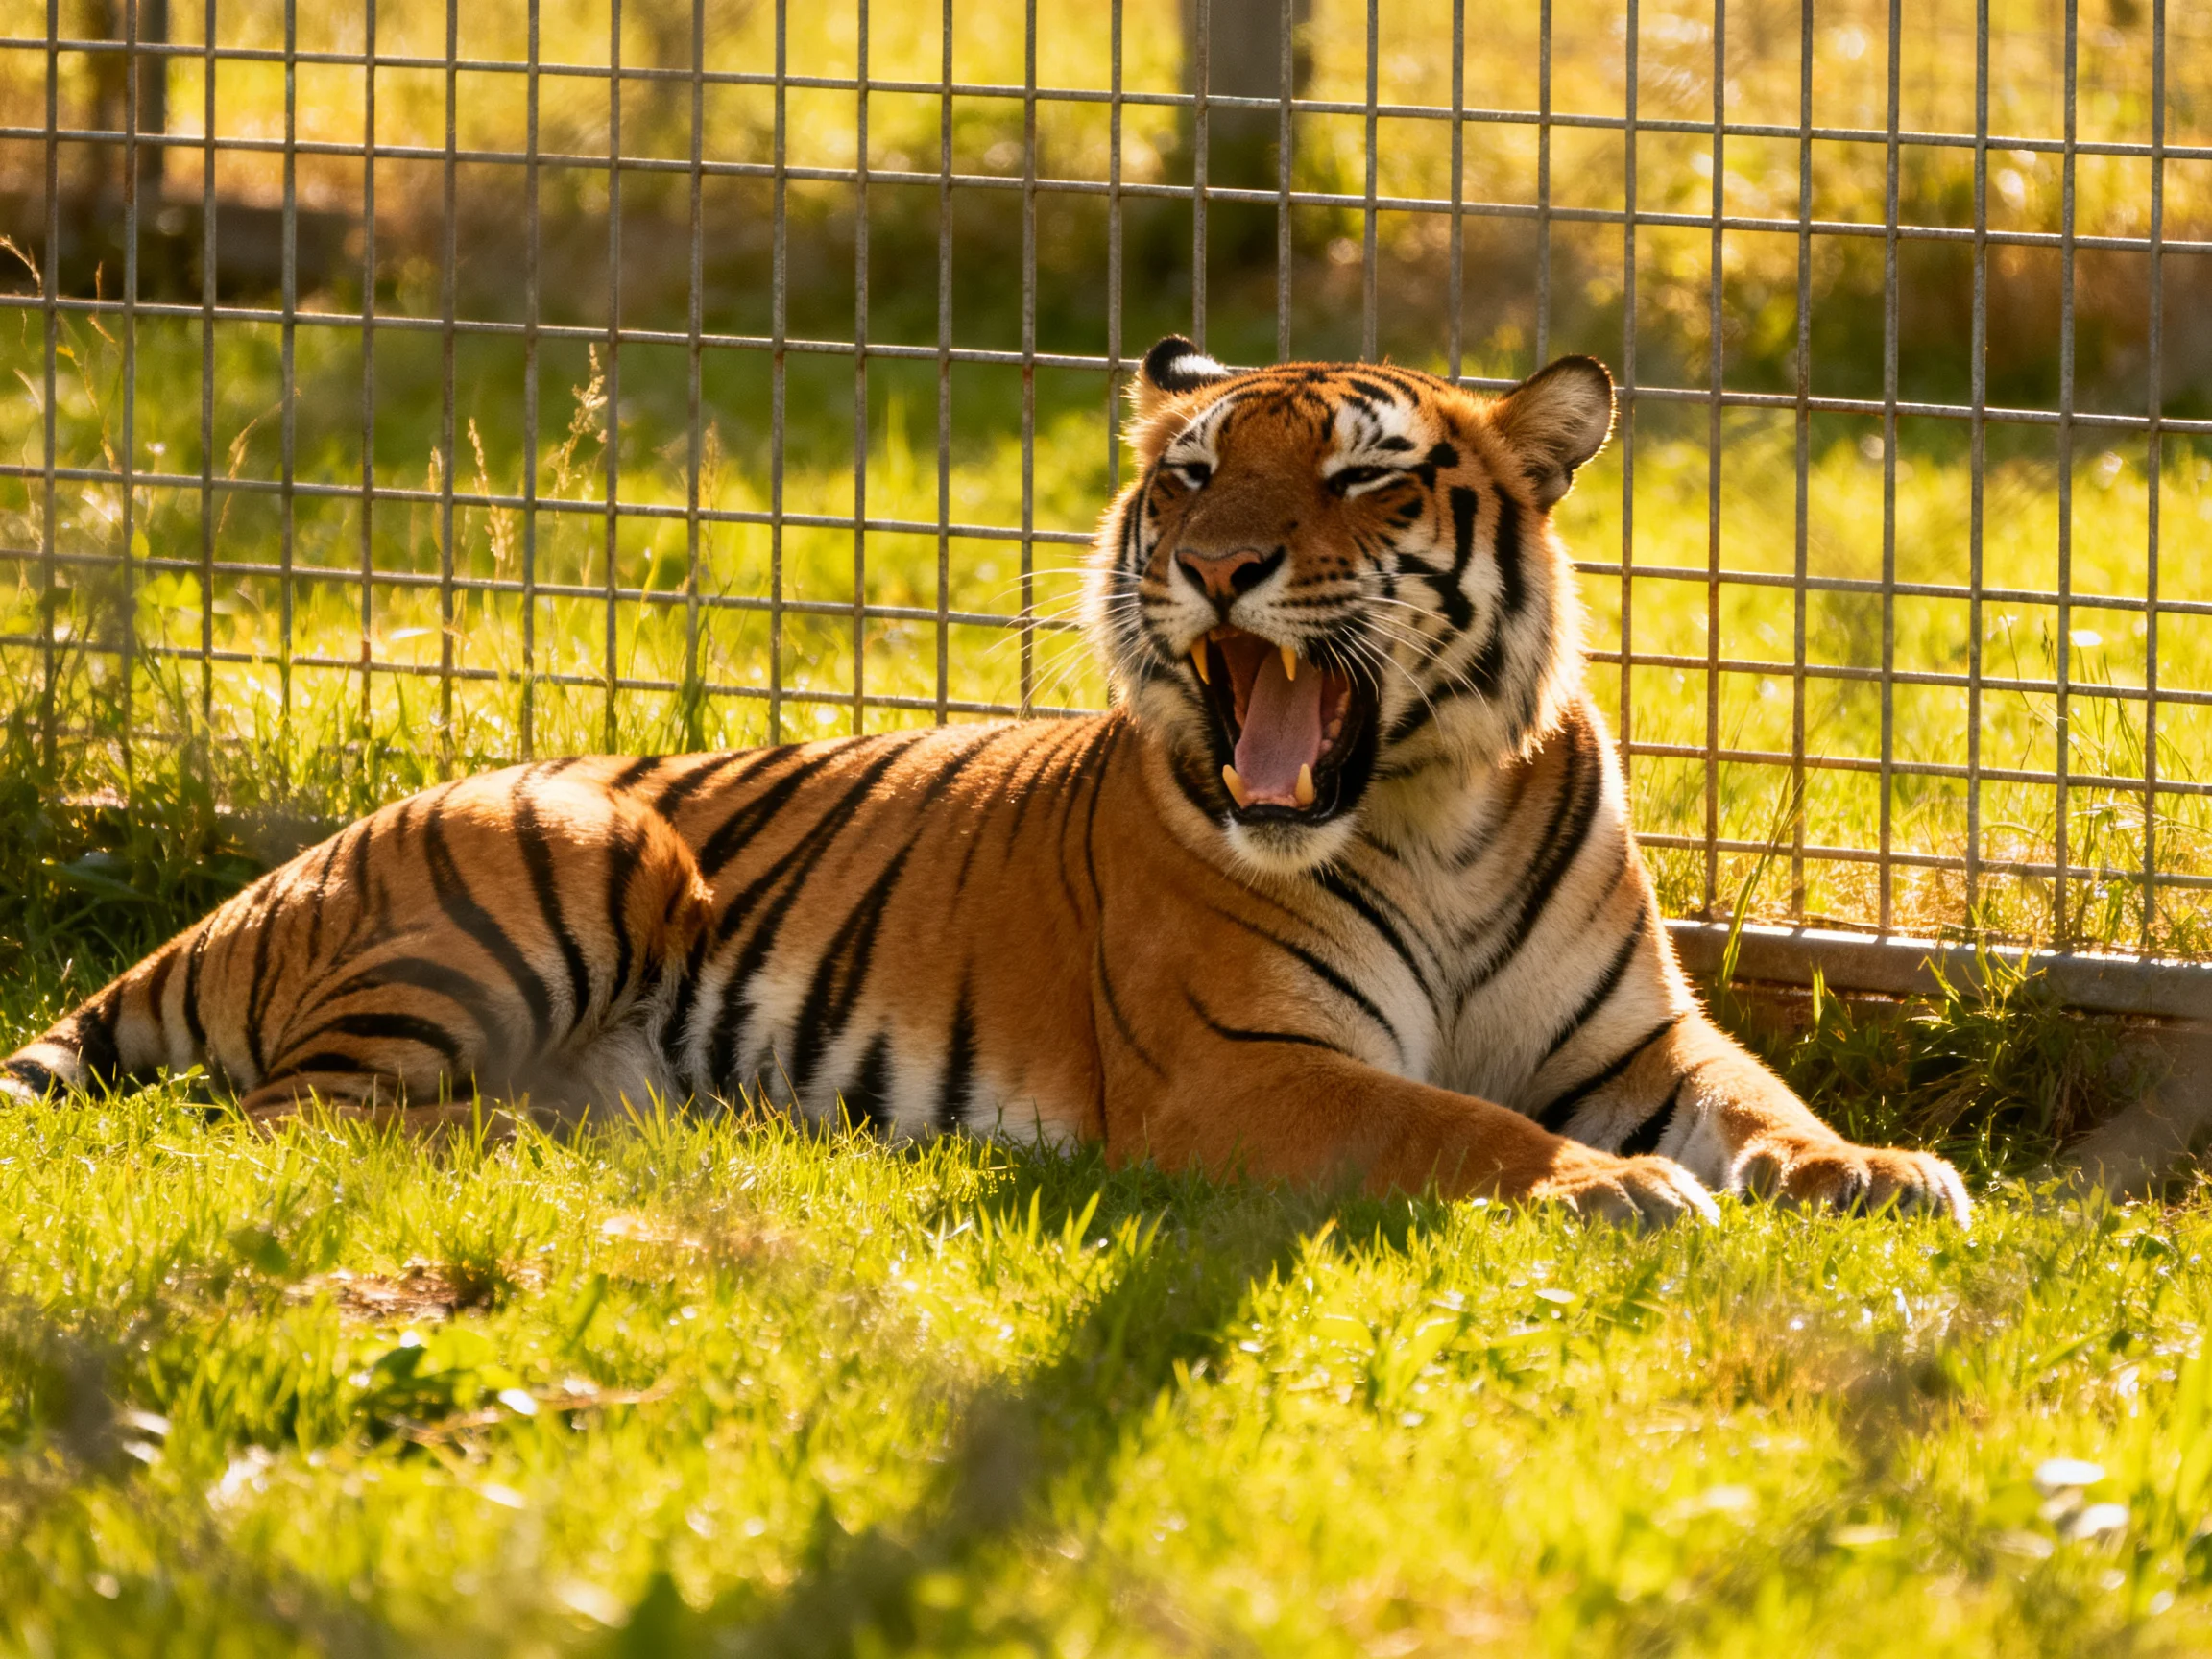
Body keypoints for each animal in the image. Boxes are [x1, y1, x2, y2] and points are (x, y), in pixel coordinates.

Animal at [2, 336, 1970, 1226]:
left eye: (1362, 476)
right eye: (1191, 475)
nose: (1220, 567)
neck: (1431, 808)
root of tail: (247, 894)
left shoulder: (1637, 1041)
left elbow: (1765, 1103)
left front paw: (1878, 1168)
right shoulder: (1246, 1071)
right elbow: (1450, 1121)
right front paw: (1605, 1191)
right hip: (576, 835)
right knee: (303, 1117)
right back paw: (514, 1145)